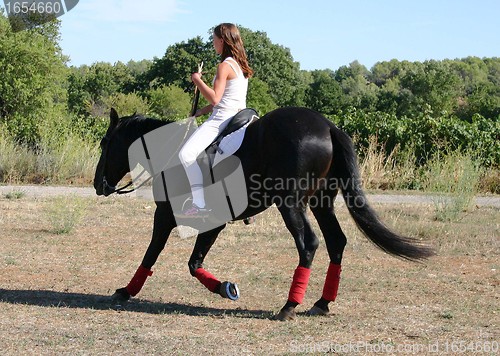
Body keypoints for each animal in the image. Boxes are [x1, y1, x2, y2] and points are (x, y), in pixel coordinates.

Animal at [94, 106, 434, 320]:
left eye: (104, 142)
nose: (98, 184)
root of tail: (328, 126)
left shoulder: (164, 216)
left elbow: (151, 254)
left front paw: (126, 290)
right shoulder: (213, 223)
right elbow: (194, 263)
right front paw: (225, 288)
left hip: (290, 203)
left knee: (309, 244)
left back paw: (289, 305)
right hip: (321, 201)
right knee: (336, 241)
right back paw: (322, 302)